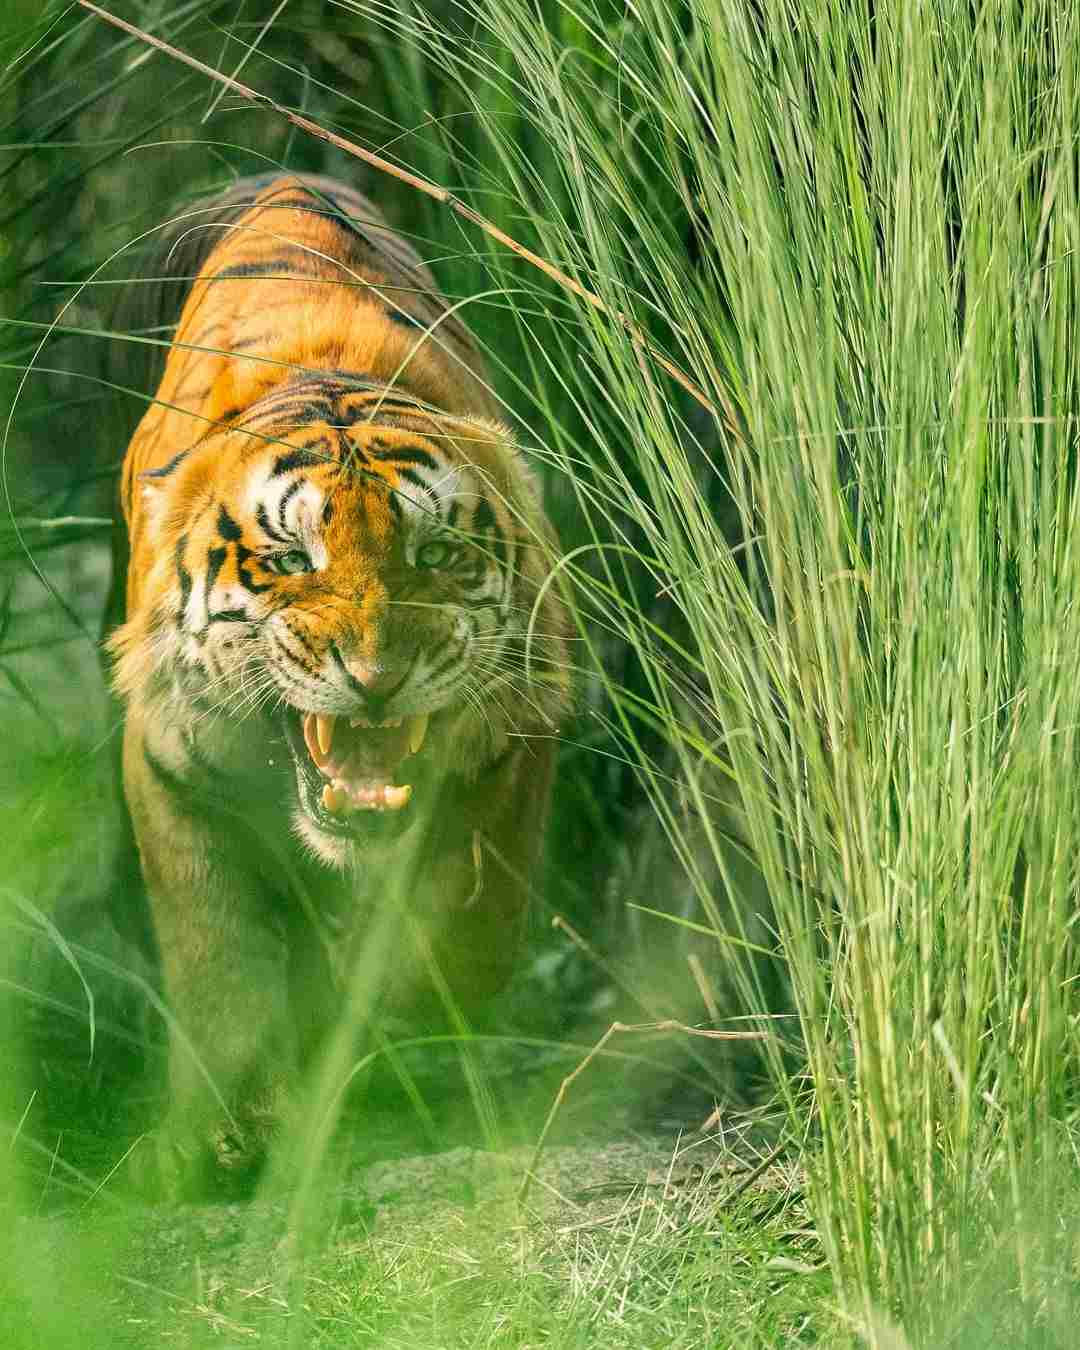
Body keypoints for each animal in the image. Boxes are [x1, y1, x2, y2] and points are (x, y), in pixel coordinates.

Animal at [107, 172, 571, 1196]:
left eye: (434, 556)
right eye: (290, 561)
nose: (375, 678)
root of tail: (292, 180)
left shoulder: (514, 738)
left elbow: (453, 936)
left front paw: (370, 1034)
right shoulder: (167, 762)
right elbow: (219, 967)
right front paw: (221, 1140)